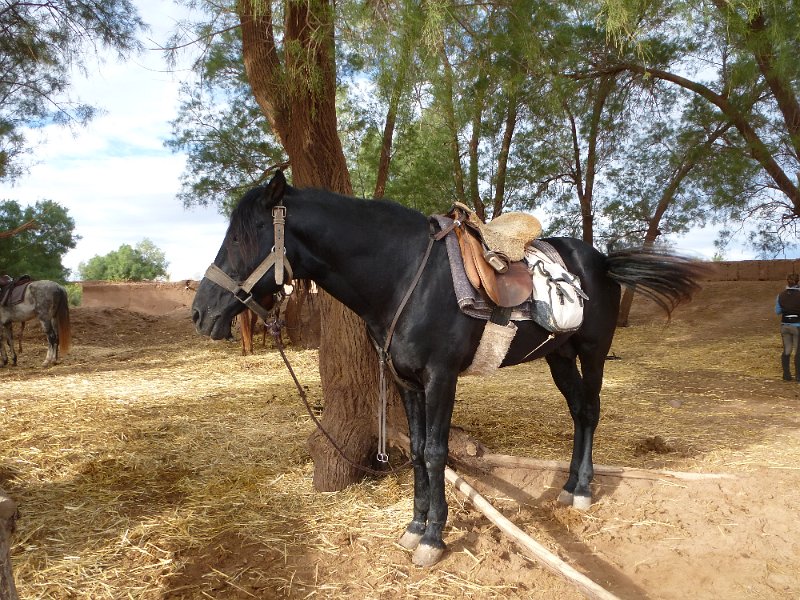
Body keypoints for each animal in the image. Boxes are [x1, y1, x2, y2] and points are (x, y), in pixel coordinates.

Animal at [191, 170, 704, 568]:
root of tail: (601, 260)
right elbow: (418, 452)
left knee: (592, 411)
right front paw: (415, 526)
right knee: (579, 412)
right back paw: (568, 485)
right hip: (558, 356)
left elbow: (437, 453)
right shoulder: (406, 382)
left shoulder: (441, 378)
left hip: (593, 351)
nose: (200, 312)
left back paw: (582, 489)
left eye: (241, 236)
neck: (404, 277)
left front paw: (435, 538)